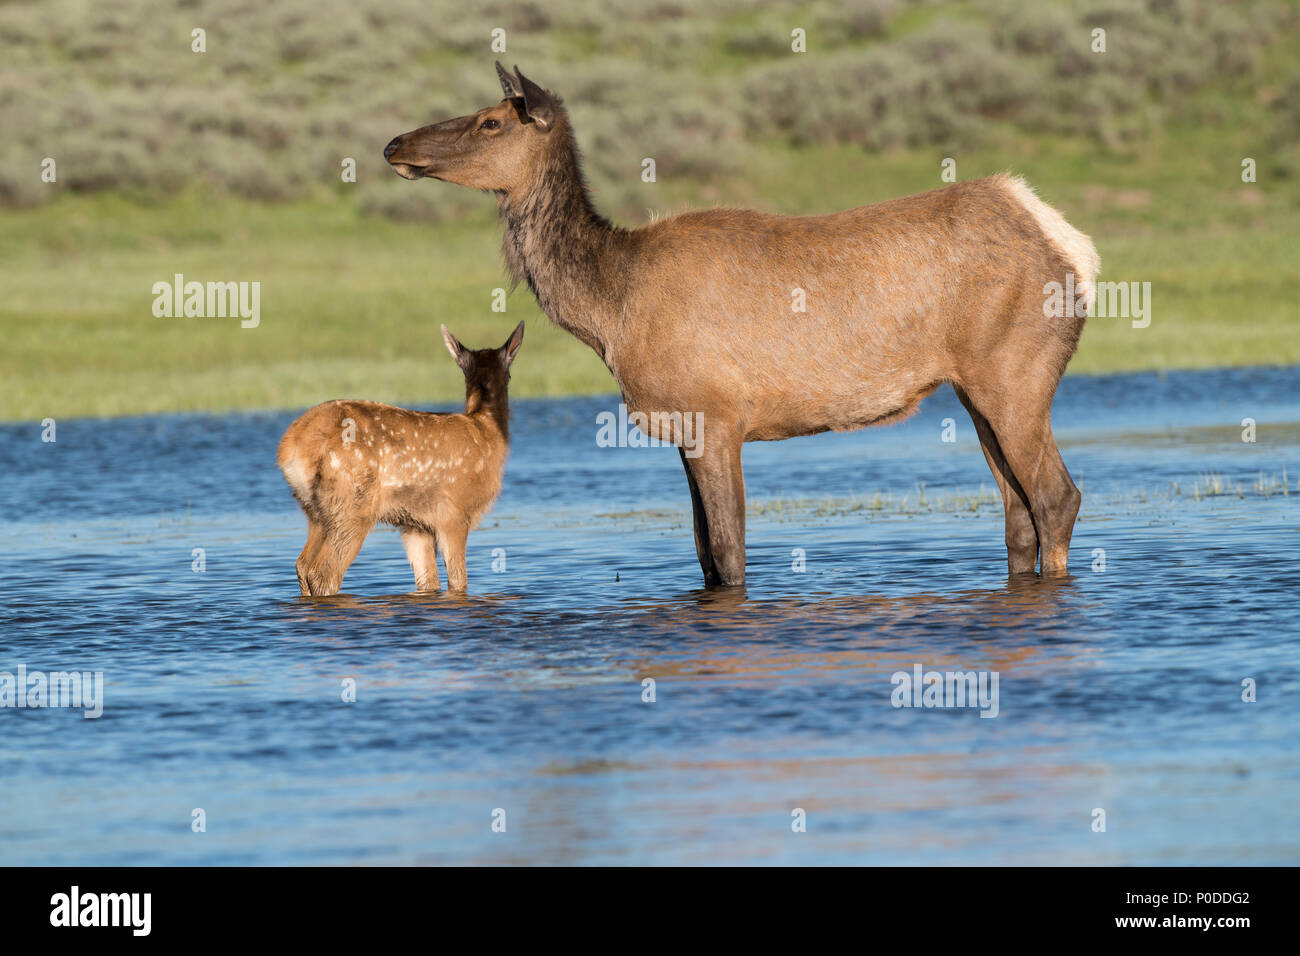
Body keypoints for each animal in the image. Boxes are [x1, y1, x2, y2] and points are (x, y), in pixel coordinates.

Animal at [278, 325, 522, 595]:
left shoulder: (415, 525)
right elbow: (458, 581)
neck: (486, 432)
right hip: (352, 501)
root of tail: (291, 445)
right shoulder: (454, 512)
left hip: (315, 510)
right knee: (324, 571)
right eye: (511, 375)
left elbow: (428, 581)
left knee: (302, 564)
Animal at [382, 63, 1097, 587]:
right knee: (1017, 512)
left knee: (1054, 498)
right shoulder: (683, 425)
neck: (609, 309)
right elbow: (703, 552)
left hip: (1015, 376)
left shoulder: (717, 416)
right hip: (975, 389)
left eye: (490, 121)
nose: (394, 144)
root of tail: (1073, 246)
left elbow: (727, 552)